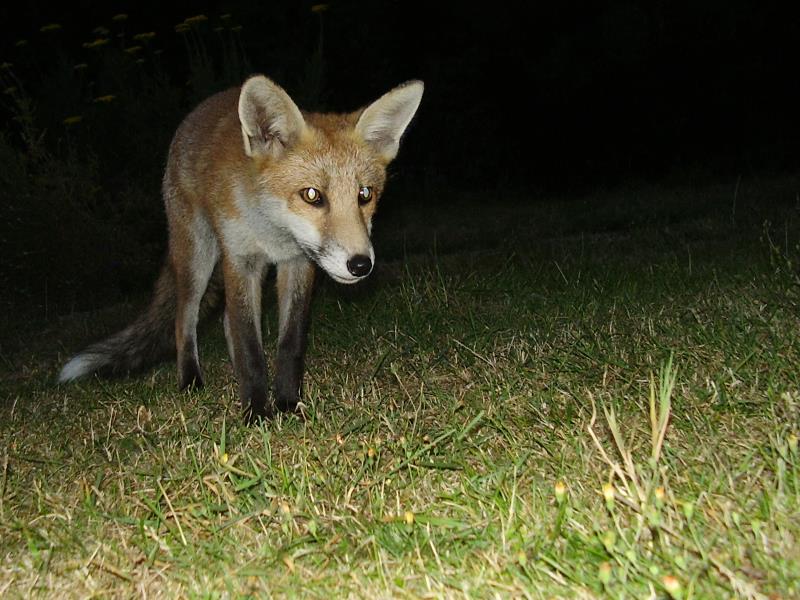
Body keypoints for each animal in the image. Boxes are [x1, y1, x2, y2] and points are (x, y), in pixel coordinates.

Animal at [60, 75, 424, 422]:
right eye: (312, 195)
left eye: (365, 195)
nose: (361, 264)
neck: (275, 234)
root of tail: (201, 109)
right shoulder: (240, 260)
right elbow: (250, 345)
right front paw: (257, 412)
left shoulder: (297, 263)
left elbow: (289, 342)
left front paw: (288, 403)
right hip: (198, 257)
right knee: (184, 320)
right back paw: (190, 380)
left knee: (225, 320)